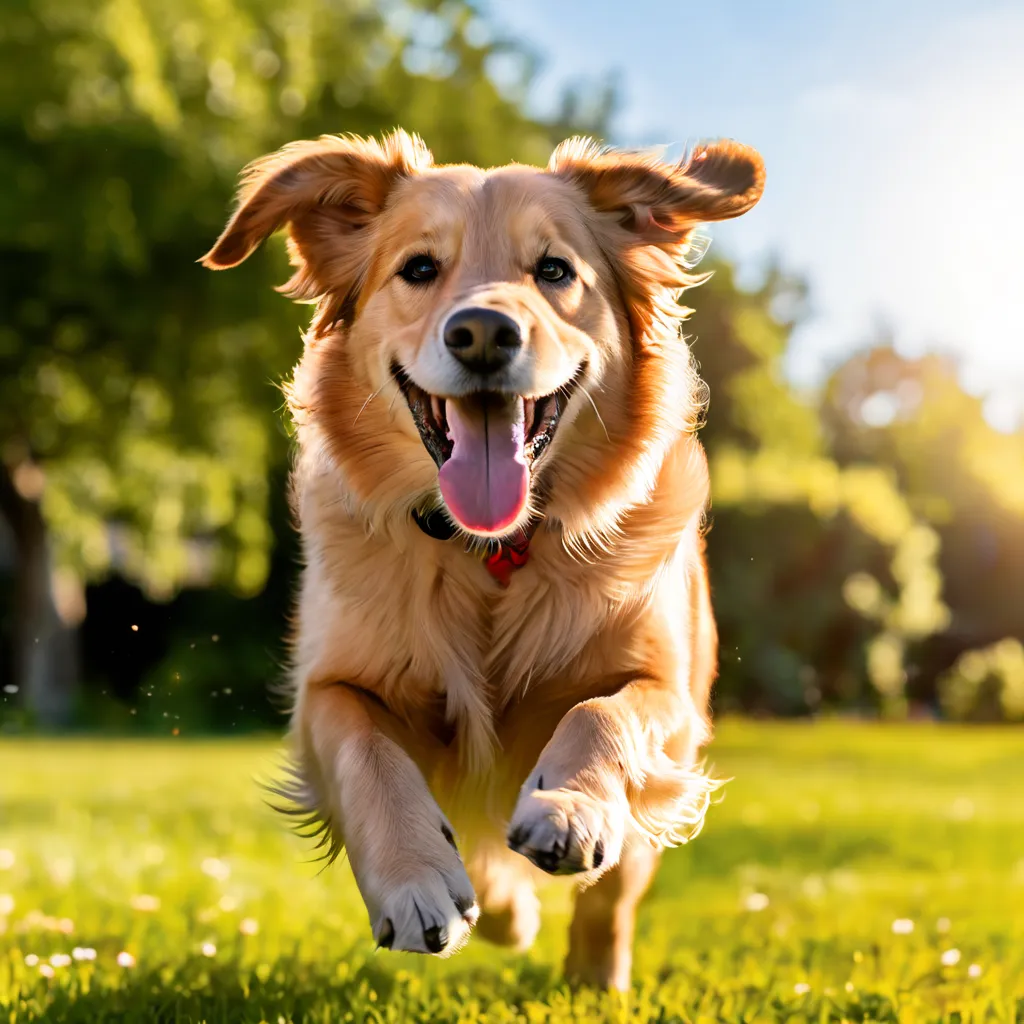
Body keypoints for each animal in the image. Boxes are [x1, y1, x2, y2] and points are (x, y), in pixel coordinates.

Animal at [201, 132, 761, 987]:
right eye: (419, 268)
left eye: (555, 270)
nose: (484, 332)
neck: (490, 550)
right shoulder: (330, 687)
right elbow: (366, 750)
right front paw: (416, 881)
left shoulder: (668, 692)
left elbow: (603, 712)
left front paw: (568, 808)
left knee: (613, 890)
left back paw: (594, 971)